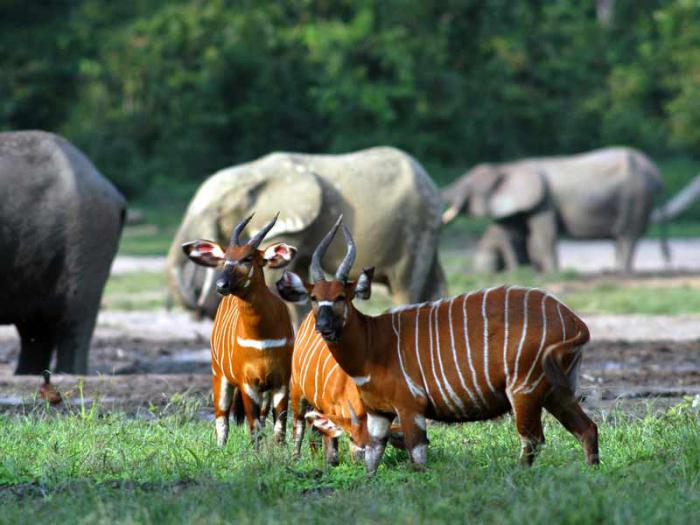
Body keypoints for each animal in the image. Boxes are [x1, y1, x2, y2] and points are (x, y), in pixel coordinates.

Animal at [167, 144, 446, 320]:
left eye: (216, 212)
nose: (199, 309)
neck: (255, 172)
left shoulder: (288, 222)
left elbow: (274, 277)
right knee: (433, 284)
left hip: (416, 228)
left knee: (405, 286)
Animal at [183, 213, 296, 446]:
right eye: (225, 258)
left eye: (247, 258)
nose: (221, 285)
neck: (262, 338)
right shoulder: (247, 383)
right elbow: (254, 427)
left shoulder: (281, 381)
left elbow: (279, 428)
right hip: (219, 376)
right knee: (222, 418)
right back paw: (220, 448)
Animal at [276, 217, 600, 474]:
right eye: (314, 297)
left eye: (341, 297)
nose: (323, 327)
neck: (373, 344)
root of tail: (574, 321)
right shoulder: (378, 414)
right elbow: (372, 461)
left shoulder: (410, 408)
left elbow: (418, 459)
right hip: (555, 390)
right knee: (587, 429)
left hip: (525, 389)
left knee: (532, 439)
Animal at [442, 145, 668, 272]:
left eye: (467, 186)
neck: (509, 166)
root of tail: (655, 172)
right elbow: (517, 232)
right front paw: (526, 271)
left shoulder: (544, 202)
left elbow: (544, 234)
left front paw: (549, 272)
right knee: (622, 239)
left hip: (636, 197)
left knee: (628, 237)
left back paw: (621, 272)